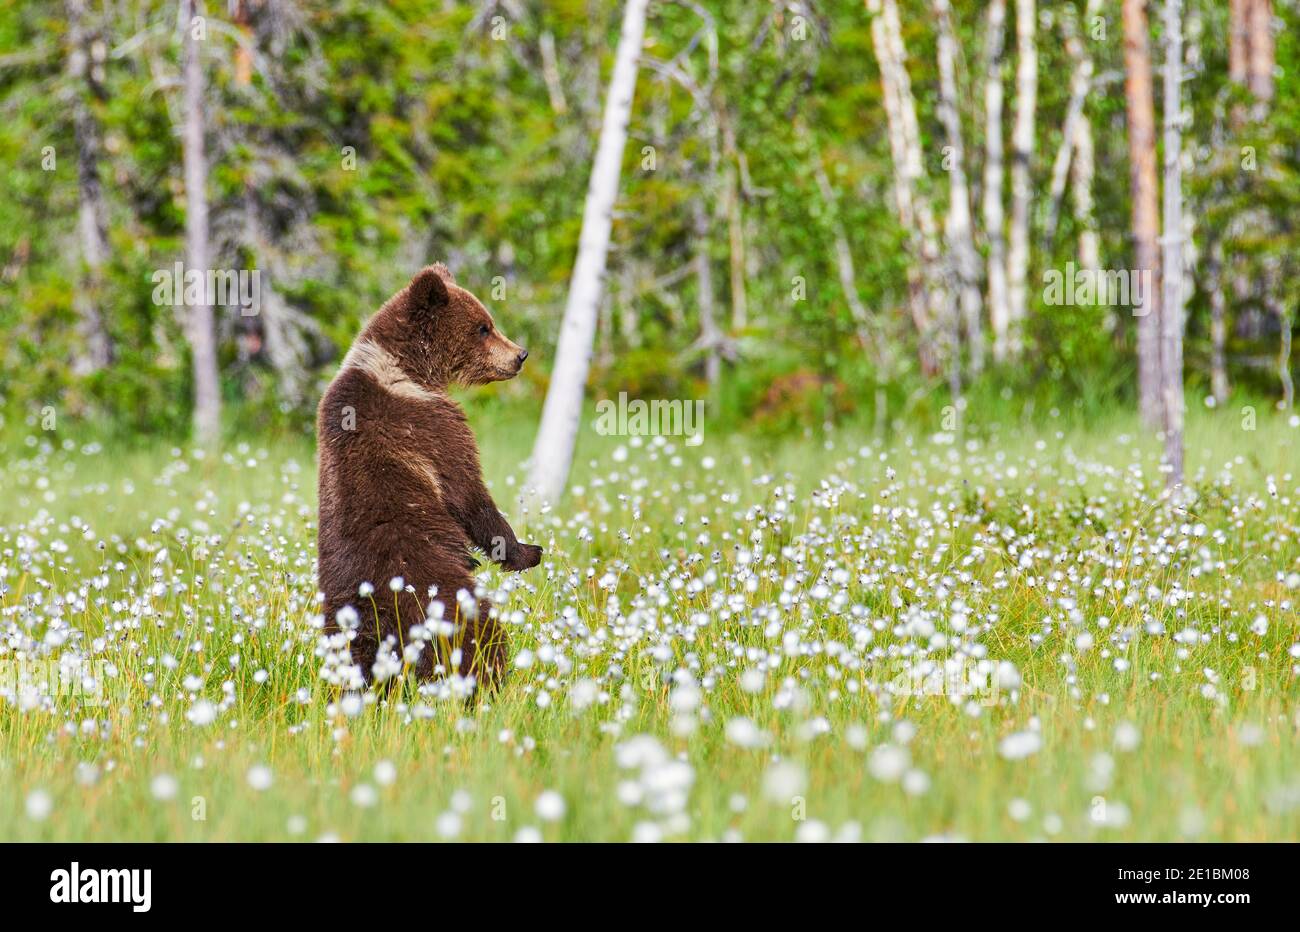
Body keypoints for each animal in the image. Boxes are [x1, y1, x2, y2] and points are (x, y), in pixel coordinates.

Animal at [316, 263, 541, 691]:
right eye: (483, 327)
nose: (520, 355)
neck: (406, 371)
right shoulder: (431, 428)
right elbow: (469, 492)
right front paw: (526, 551)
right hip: (437, 593)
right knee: (477, 632)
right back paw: (489, 680)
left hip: (342, 623)